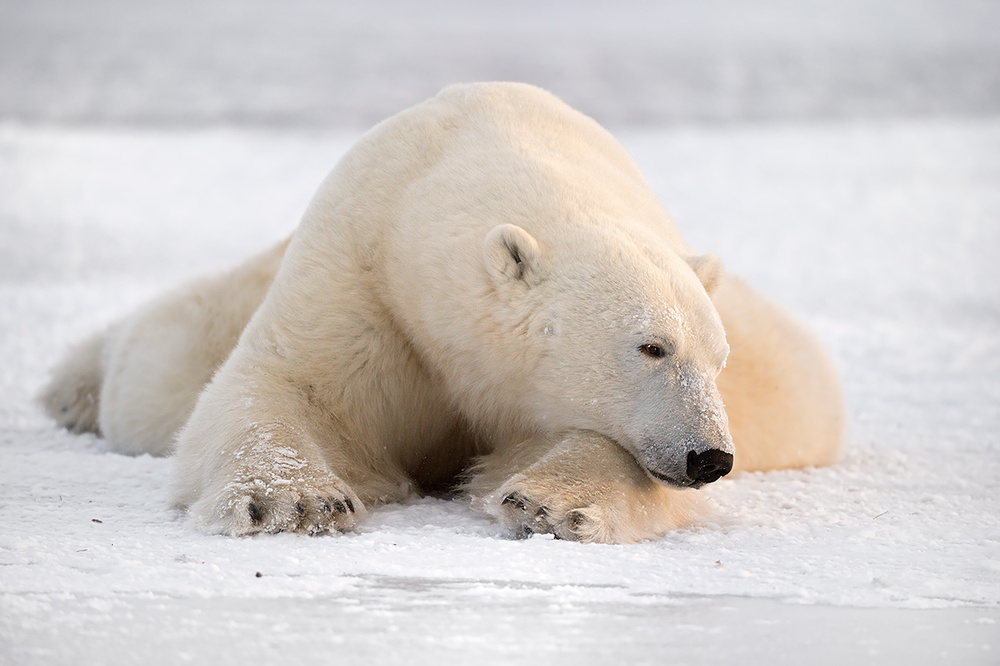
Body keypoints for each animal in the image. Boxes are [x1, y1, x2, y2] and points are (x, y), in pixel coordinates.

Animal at [45, 81, 844, 540]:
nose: (710, 456)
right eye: (652, 347)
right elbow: (290, 385)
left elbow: (596, 445)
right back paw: (72, 388)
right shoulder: (362, 272)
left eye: (717, 358)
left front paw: (549, 504)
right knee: (157, 368)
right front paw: (293, 502)